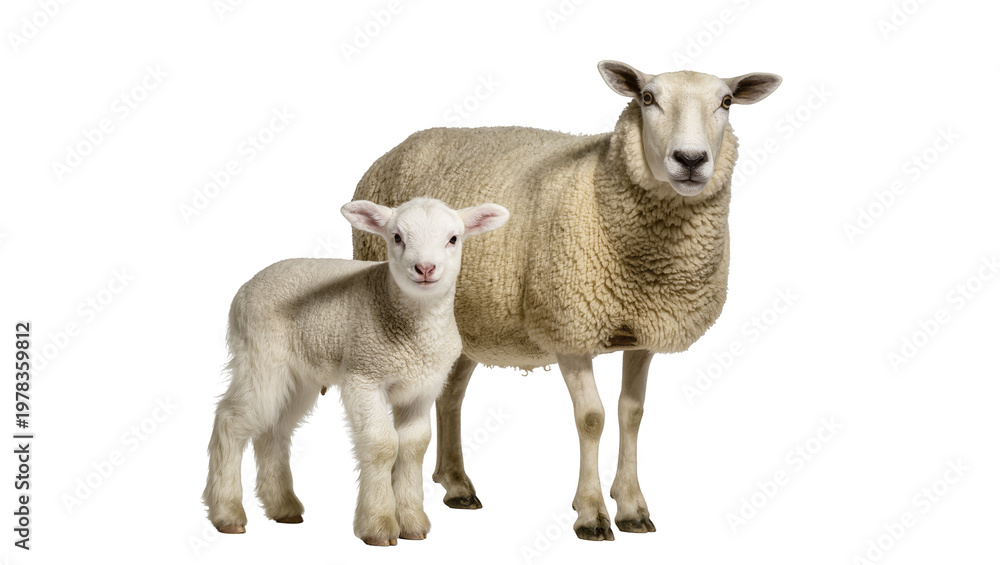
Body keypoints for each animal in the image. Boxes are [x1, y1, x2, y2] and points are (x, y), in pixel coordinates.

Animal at [203, 197, 510, 545]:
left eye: (453, 239)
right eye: (397, 237)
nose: (425, 269)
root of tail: (246, 287)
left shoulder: (421, 389)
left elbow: (414, 448)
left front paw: (412, 523)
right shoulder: (364, 376)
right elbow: (382, 445)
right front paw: (379, 525)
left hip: (299, 377)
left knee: (274, 431)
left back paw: (284, 507)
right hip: (262, 359)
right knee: (231, 420)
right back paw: (227, 513)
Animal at [352, 61, 781, 541]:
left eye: (726, 102)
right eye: (647, 98)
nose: (690, 160)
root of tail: (396, 149)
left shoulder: (642, 334)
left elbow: (631, 413)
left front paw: (632, 507)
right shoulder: (570, 329)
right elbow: (592, 418)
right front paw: (591, 512)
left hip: (466, 324)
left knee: (450, 396)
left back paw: (457, 484)